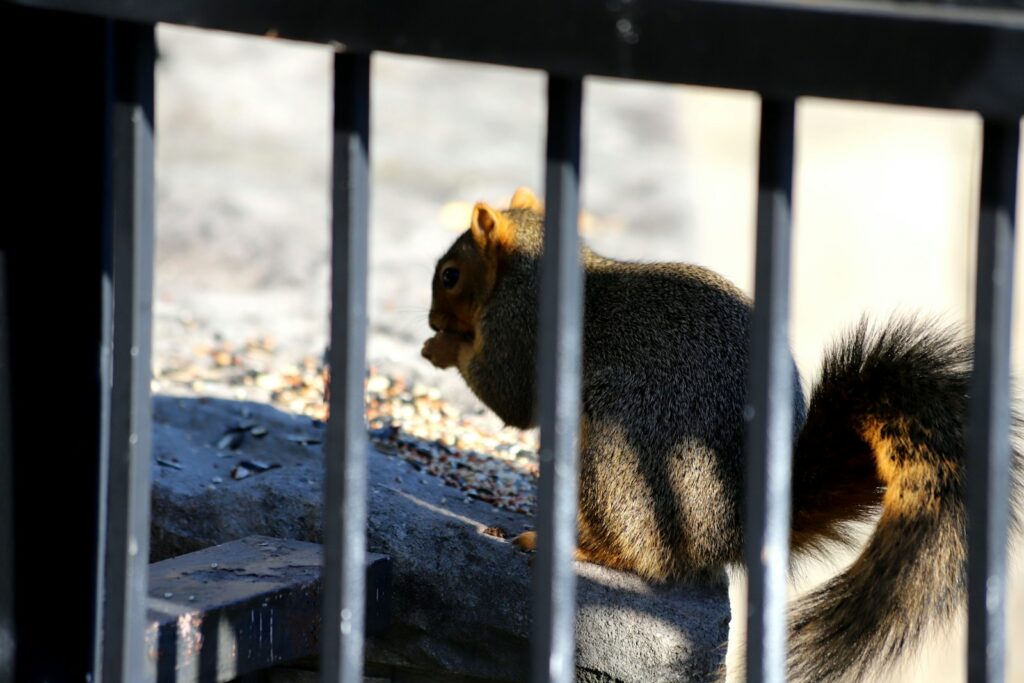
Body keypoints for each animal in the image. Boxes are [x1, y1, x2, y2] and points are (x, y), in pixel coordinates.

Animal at [421, 187, 1022, 682]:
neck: (533, 265)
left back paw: (570, 544)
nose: (429, 320)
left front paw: (444, 348)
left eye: (450, 274)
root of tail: (733, 529)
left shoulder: (521, 325)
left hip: (620, 455)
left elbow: (508, 394)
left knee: (644, 558)